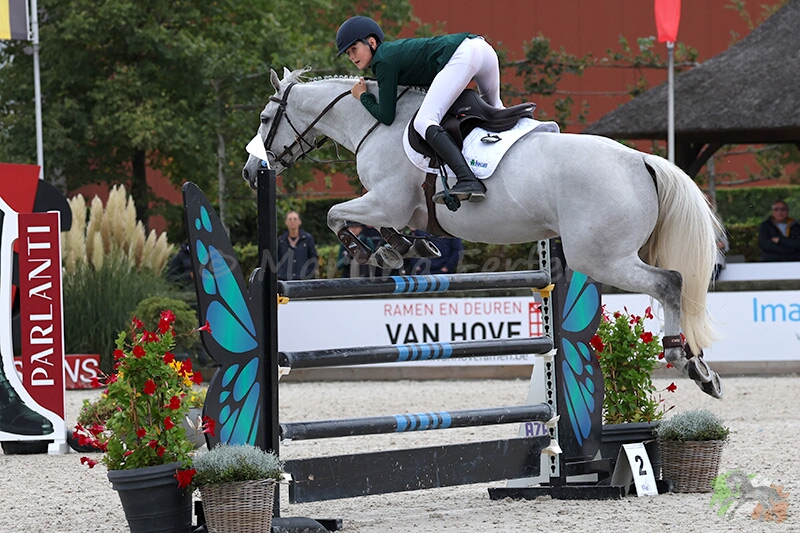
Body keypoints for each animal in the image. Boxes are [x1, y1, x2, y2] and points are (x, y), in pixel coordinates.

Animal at [242, 67, 724, 398]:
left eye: (265, 118)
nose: (250, 172)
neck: (378, 123)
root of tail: (641, 160)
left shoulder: (385, 200)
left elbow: (335, 215)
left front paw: (378, 253)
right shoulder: (398, 208)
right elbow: (389, 226)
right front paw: (405, 245)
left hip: (601, 257)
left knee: (670, 282)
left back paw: (686, 361)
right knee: (672, 285)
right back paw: (701, 367)